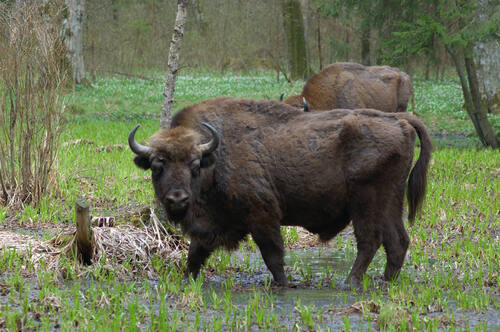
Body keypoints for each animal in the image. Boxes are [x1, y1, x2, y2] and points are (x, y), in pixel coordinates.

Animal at [128, 97, 430, 286]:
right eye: (157, 166)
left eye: (194, 164)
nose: (177, 199)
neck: (214, 158)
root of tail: (399, 120)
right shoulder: (211, 226)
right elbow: (195, 255)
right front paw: (186, 280)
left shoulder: (262, 217)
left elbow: (273, 256)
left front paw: (283, 284)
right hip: (391, 201)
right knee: (397, 241)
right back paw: (385, 280)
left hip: (366, 202)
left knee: (370, 241)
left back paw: (349, 283)